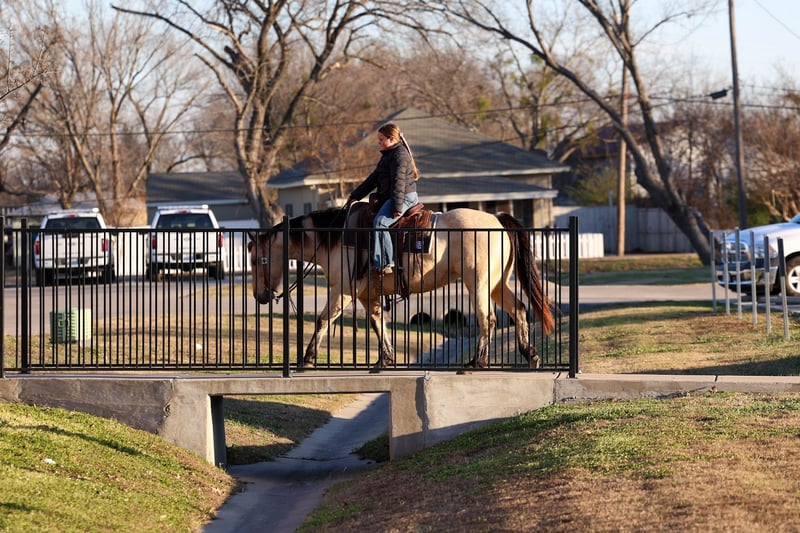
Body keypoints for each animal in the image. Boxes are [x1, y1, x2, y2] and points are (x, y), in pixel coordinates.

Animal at [247, 203, 555, 370]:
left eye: (256, 259)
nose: (259, 296)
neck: (335, 239)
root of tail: (496, 220)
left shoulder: (342, 291)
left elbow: (323, 320)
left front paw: (307, 358)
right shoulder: (366, 294)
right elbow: (377, 324)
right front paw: (385, 359)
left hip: (477, 283)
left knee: (487, 318)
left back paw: (477, 362)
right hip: (496, 284)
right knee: (519, 309)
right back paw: (530, 354)